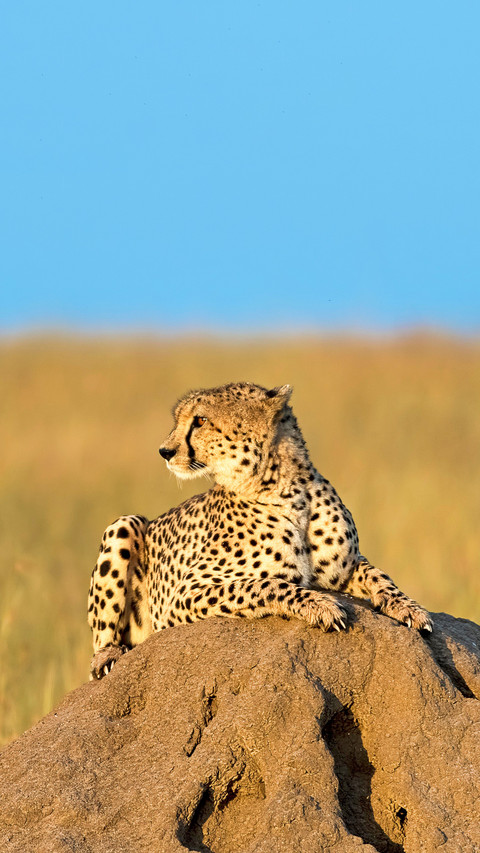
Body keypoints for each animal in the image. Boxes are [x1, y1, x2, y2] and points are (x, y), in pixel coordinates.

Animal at [88, 381, 432, 679]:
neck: (288, 489)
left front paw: (410, 608)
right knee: (100, 645)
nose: (165, 451)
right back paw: (107, 657)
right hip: (125, 524)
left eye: (200, 420)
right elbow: (265, 584)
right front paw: (319, 605)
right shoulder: (184, 595)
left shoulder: (344, 570)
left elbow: (380, 576)